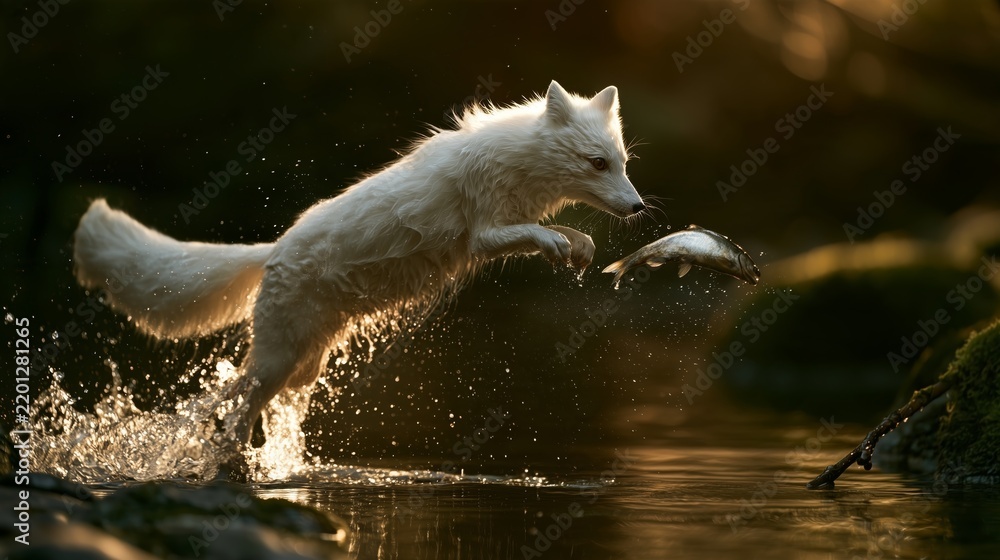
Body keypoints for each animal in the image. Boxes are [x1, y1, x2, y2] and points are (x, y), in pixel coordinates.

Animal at [72, 80, 645, 448]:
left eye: (622, 164)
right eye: (597, 164)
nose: (640, 208)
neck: (520, 163)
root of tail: (272, 251)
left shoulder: (505, 226)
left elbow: (569, 234)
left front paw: (579, 248)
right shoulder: (484, 235)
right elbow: (535, 235)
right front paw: (560, 246)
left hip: (301, 367)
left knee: (236, 402)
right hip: (277, 360)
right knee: (223, 401)